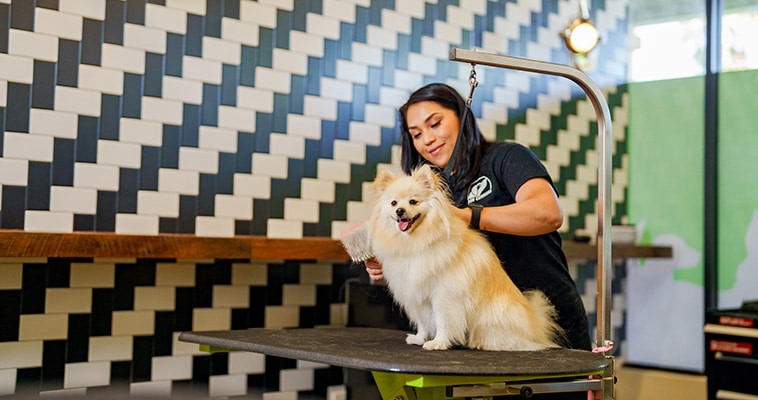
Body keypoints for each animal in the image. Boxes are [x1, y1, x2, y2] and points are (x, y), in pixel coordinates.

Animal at [368, 164, 564, 352]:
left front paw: (438, 342)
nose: (400, 211)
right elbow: (422, 321)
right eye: (393, 203)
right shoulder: (416, 294)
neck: (414, 240)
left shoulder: (444, 295)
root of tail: (535, 325)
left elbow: (442, 321)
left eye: (413, 201)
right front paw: (420, 338)